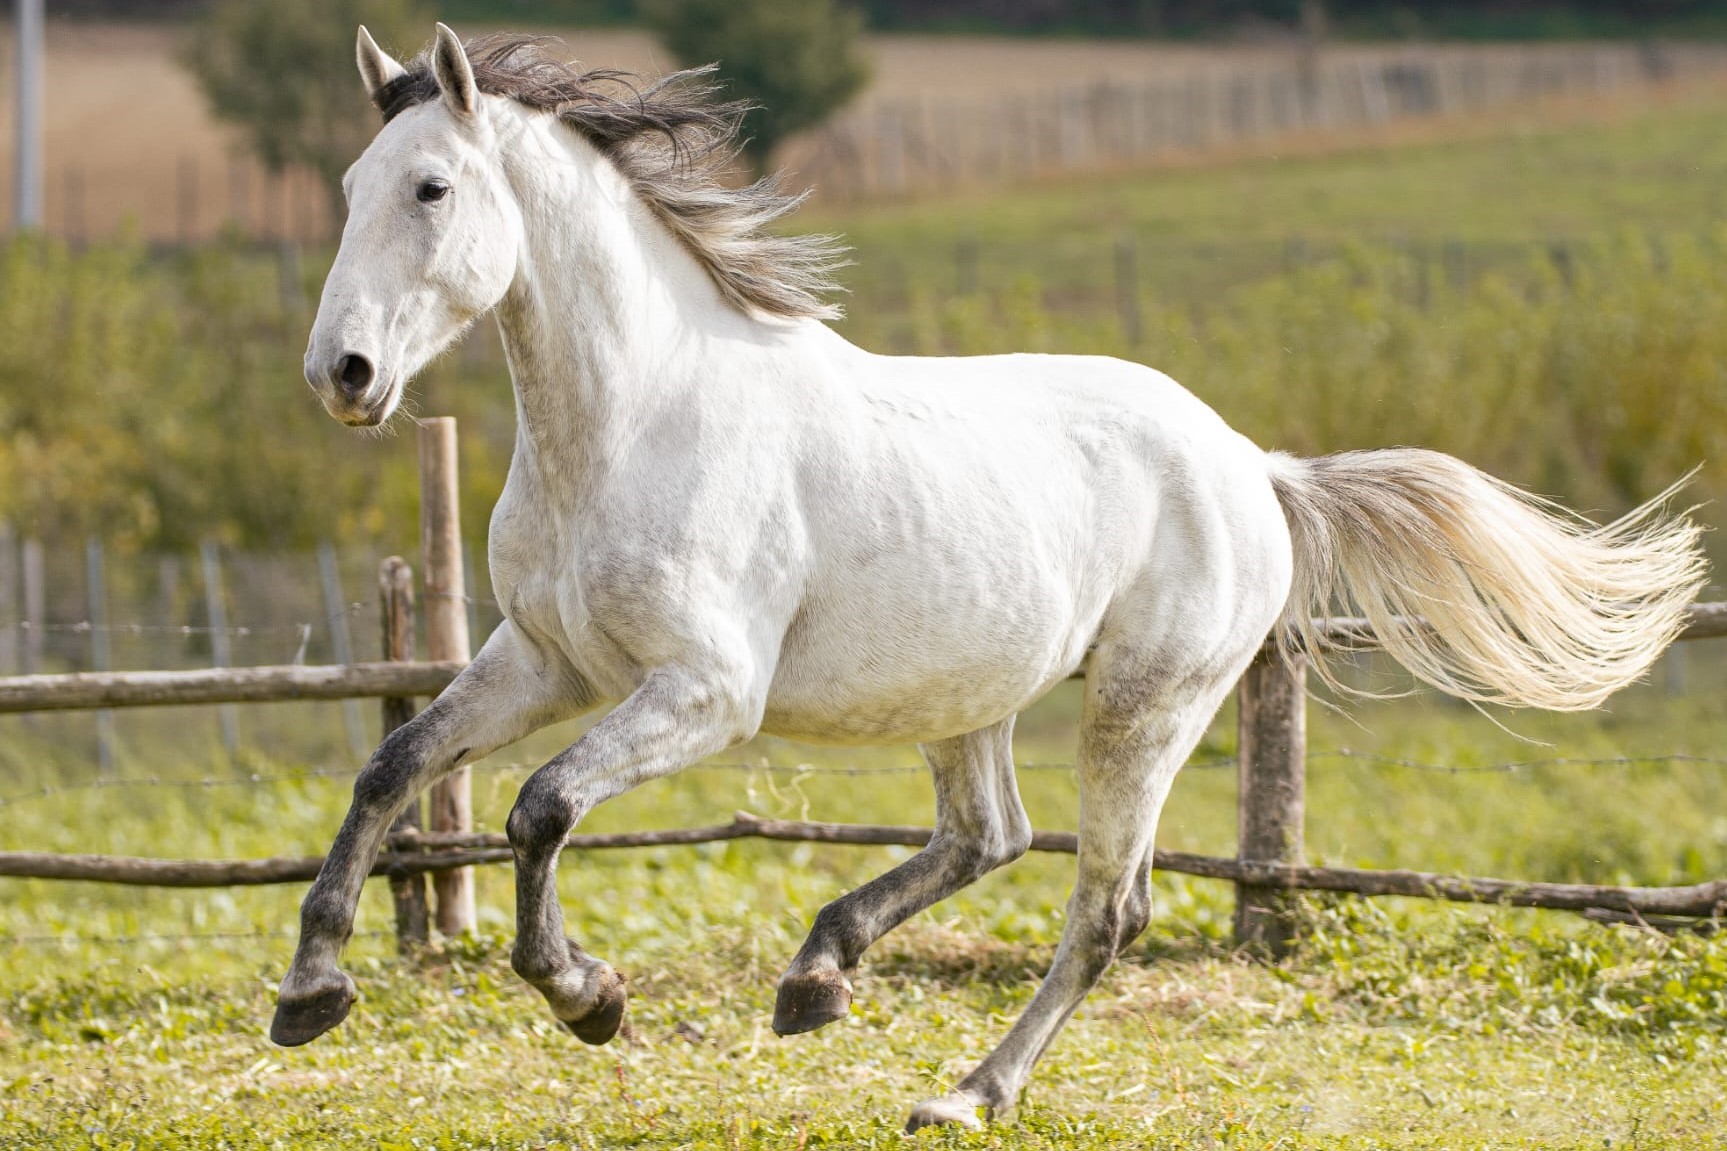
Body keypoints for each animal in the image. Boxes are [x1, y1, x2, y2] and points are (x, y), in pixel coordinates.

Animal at [274, 23, 1705, 1132]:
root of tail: (1251, 464)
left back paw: (963, 1090)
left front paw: (588, 996)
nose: (341, 376)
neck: (635, 421)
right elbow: (394, 767)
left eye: (431, 189)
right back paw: (817, 976)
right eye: (348, 184)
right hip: (965, 691)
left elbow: (538, 807)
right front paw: (310, 992)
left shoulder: (704, 692)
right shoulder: (544, 657)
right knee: (988, 834)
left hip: (1141, 706)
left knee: (1101, 906)